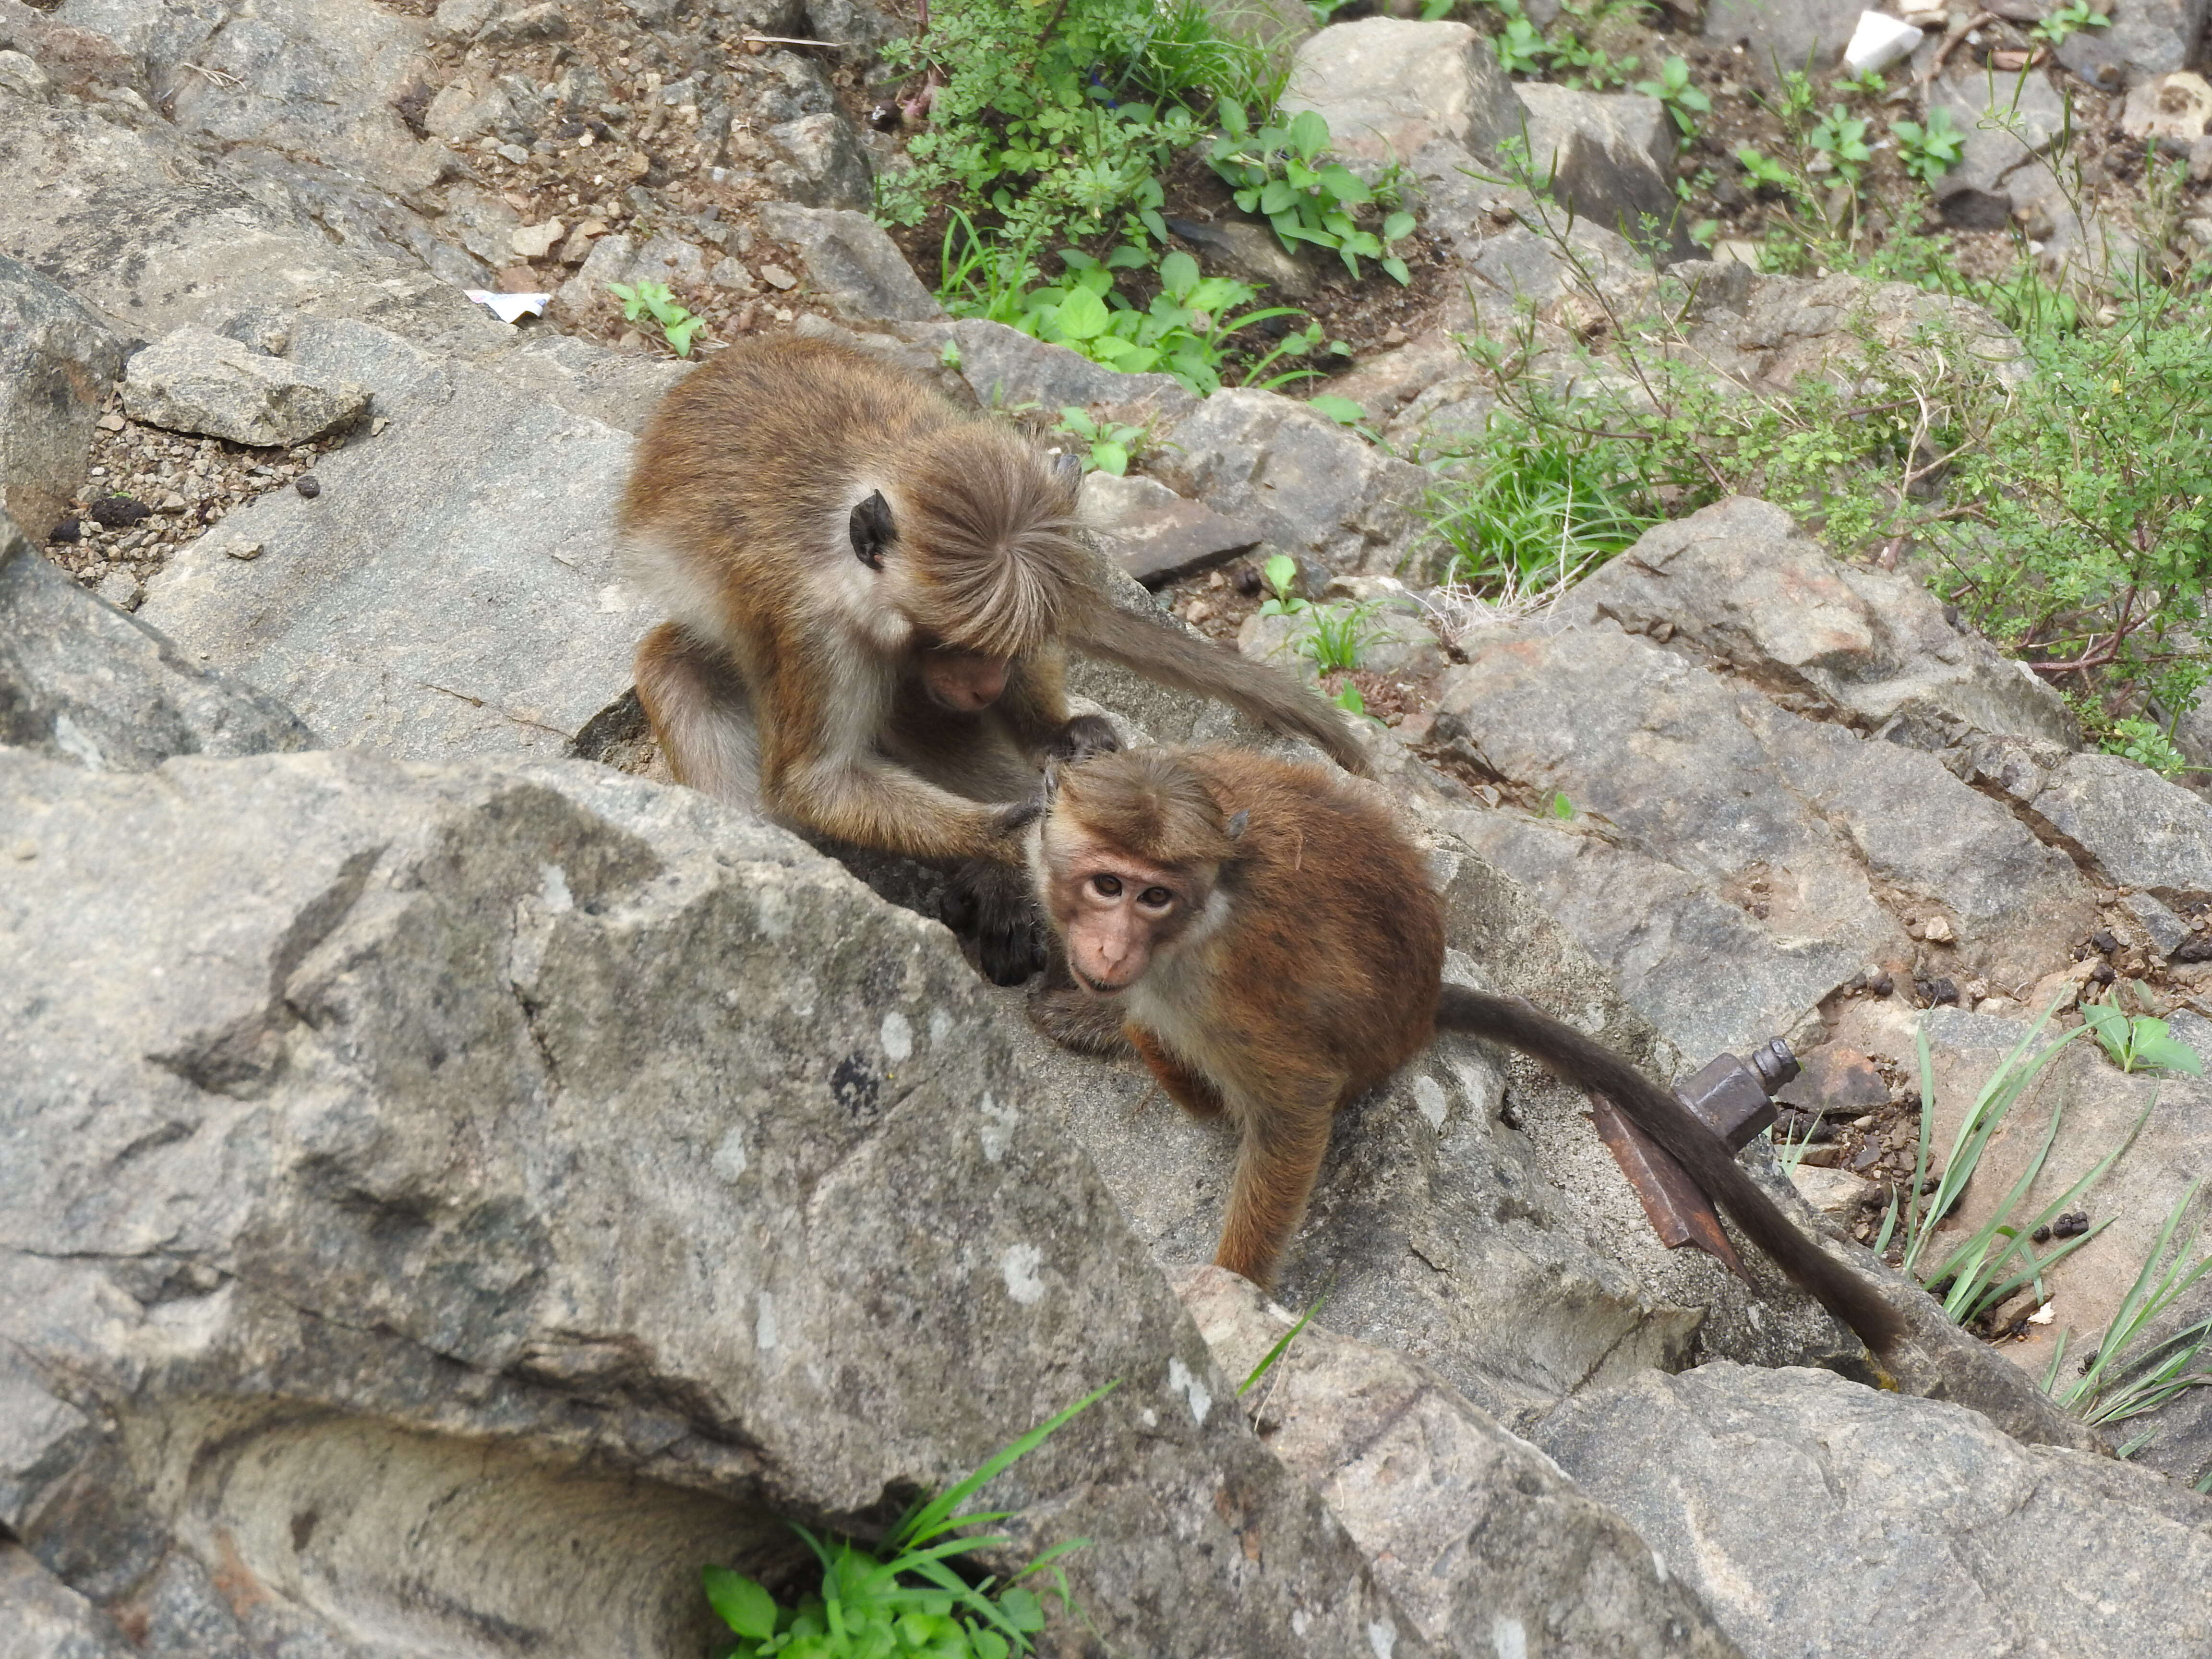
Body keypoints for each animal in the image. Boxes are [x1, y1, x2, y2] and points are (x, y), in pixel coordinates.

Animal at [610, 338, 1362, 986]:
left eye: (1001, 650)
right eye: (952, 643)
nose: (989, 681)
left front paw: (1050, 744)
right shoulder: (810, 629)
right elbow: (817, 780)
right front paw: (1013, 835)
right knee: (679, 668)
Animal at [1026, 747, 1911, 1354]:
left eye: (1154, 896)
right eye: (1107, 885)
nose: (1110, 949)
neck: (1205, 912)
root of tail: (1423, 1005)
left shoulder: (1229, 990)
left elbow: (1292, 1111)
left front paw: (1226, 1300)